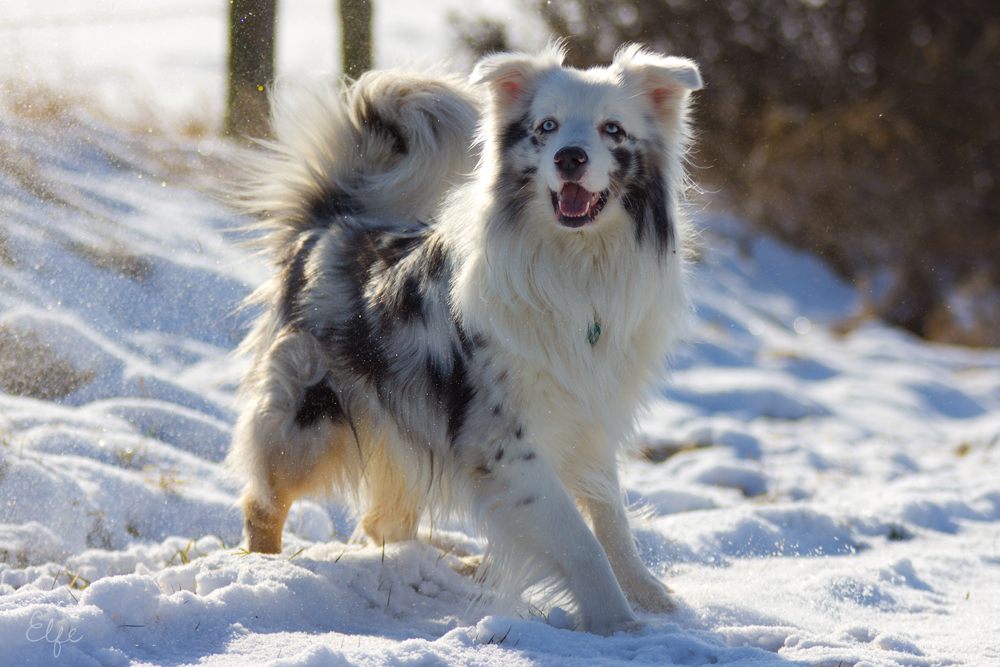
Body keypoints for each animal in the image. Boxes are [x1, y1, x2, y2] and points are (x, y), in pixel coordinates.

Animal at [229, 44, 704, 636]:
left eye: (612, 129)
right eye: (546, 127)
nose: (569, 158)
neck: (574, 266)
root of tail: (329, 226)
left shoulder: (588, 420)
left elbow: (611, 518)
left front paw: (650, 599)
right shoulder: (506, 444)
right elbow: (579, 541)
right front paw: (618, 624)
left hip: (401, 424)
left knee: (381, 522)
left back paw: (448, 561)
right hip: (311, 417)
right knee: (265, 501)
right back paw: (266, 575)